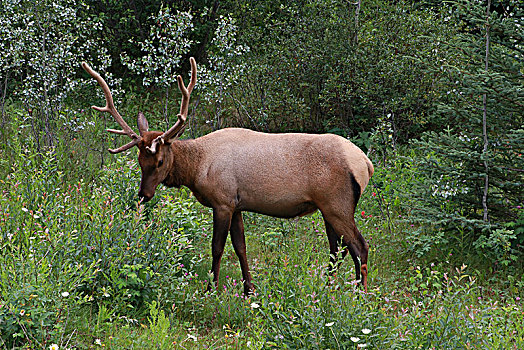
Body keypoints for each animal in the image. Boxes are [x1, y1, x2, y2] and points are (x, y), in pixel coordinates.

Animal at [82, 57, 374, 296]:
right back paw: (327, 287)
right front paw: (248, 290)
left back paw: (359, 296)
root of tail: (366, 164)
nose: (144, 194)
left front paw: (212, 289)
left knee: (359, 246)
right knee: (337, 249)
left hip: (337, 203)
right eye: (140, 161)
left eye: (160, 161)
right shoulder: (237, 204)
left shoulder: (222, 201)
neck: (198, 168)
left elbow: (217, 247)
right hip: (327, 207)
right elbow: (241, 246)